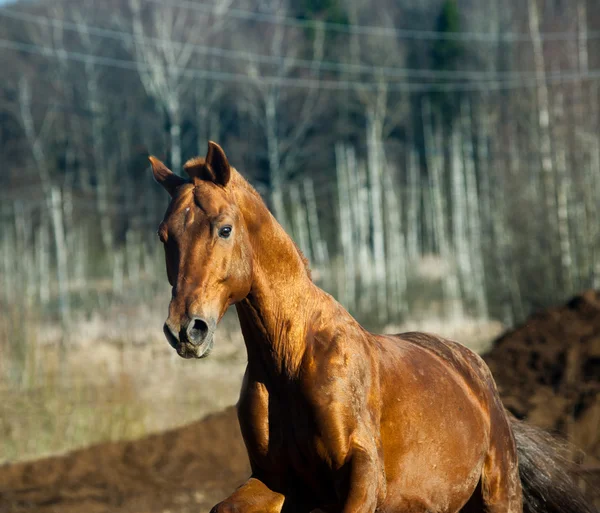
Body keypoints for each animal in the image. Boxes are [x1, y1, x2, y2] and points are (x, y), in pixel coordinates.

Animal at [149, 141, 592, 512]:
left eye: (224, 228)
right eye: (165, 236)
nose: (186, 329)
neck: (289, 360)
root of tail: (481, 379)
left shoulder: (362, 475)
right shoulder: (278, 481)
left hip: (500, 495)